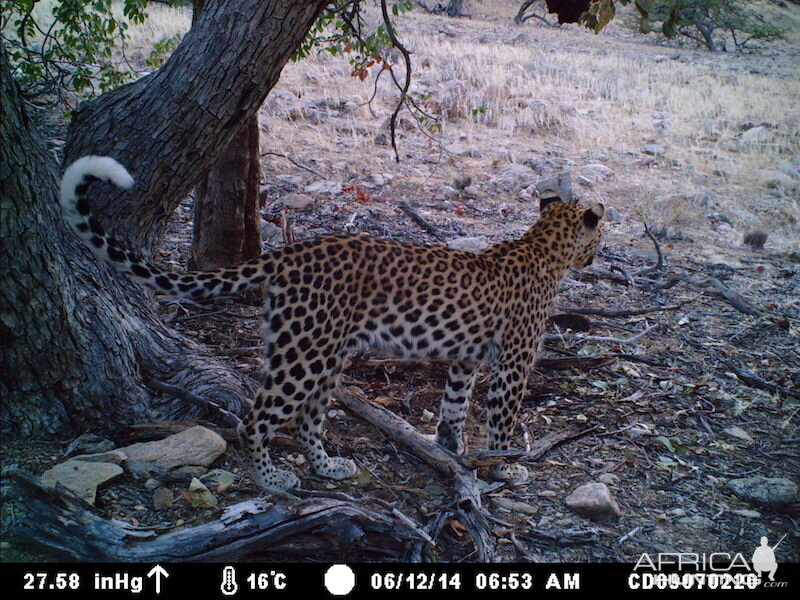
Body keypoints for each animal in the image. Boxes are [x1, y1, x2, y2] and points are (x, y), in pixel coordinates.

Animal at [59, 155, 604, 492]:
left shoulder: (464, 359)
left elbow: (454, 406)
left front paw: (451, 451)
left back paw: (328, 468)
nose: (596, 258)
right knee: (256, 420)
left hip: (323, 353)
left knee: (305, 420)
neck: (544, 245)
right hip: (306, 354)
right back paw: (271, 480)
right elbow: (504, 418)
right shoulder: (513, 362)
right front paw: (507, 469)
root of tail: (289, 252)